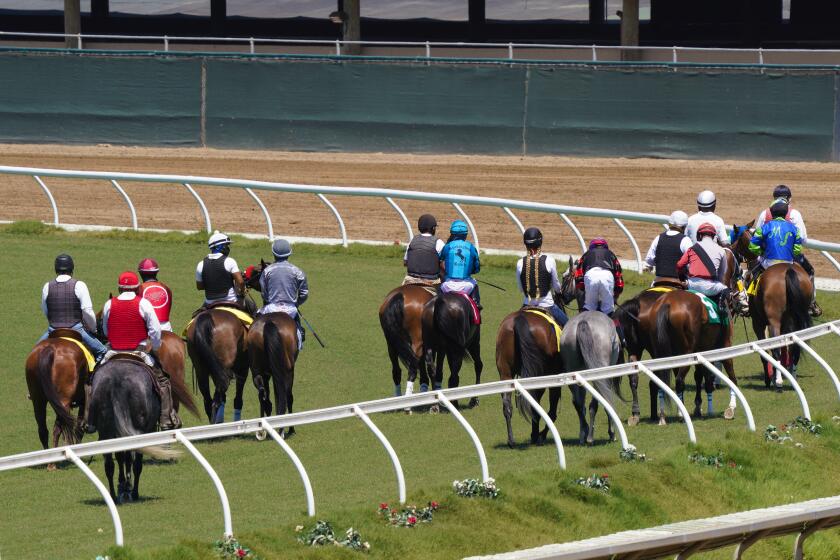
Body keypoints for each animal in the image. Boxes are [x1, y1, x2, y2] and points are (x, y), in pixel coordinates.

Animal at [24, 328, 89, 456]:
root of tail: (49, 349)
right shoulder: (84, 400)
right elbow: (79, 426)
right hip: (63, 401)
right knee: (59, 429)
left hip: (38, 399)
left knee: (43, 429)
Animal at [87, 358, 197, 504]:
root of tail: (116, 381)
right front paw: (126, 488)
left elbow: (121, 457)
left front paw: (122, 486)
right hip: (141, 432)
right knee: (136, 464)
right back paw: (133, 493)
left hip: (106, 432)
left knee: (110, 465)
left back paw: (114, 495)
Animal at [496, 306, 560, 446]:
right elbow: (551, 411)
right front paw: (540, 435)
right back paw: (535, 436)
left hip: (505, 373)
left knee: (507, 405)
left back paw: (511, 440)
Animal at [560, 310, 620, 446]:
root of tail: (583, 321)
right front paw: (611, 432)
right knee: (596, 403)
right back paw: (591, 437)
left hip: (572, 373)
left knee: (578, 403)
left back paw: (584, 434)